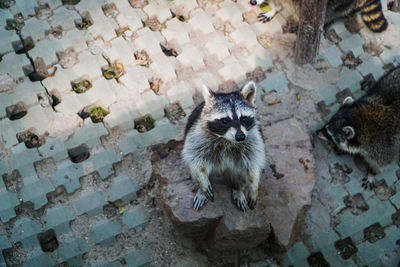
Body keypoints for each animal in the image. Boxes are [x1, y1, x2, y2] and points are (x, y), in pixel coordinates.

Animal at [182, 81, 266, 211]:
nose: (240, 137)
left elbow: (253, 162)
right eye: (225, 120)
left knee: (240, 171)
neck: (227, 140)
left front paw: (253, 185)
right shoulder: (197, 136)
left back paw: (237, 189)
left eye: (244, 118)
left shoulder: (253, 137)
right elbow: (196, 161)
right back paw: (201, 190)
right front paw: (202, 181)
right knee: (194, 170)